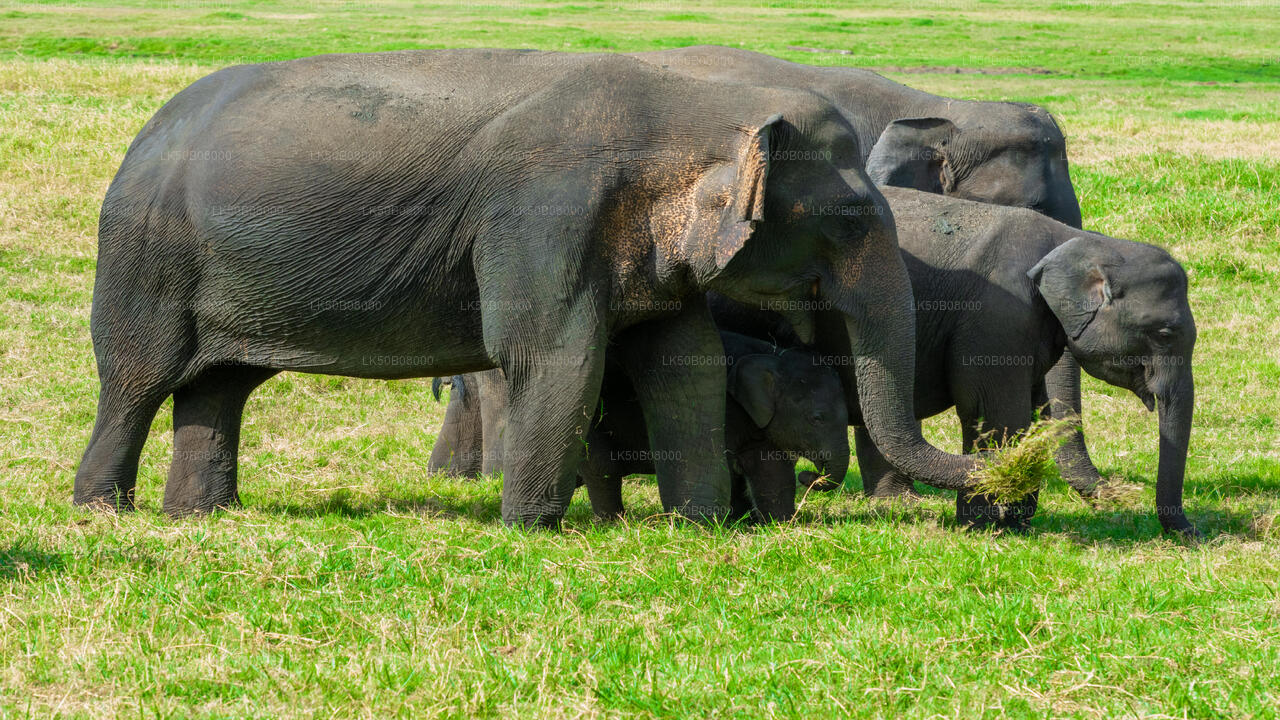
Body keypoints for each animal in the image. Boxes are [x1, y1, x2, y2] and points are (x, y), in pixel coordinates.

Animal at [77, 47, 977, 525]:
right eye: (853, 219)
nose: (1003, 472)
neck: (689, 105)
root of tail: (146, 132)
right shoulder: (543, 216)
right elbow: (551, 356)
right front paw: (535, 531)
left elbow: (686, 364)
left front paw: (700, 526)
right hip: (144, 256)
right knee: (138, 381)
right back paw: (103, 513)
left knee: (220, 386)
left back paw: (201, 516)